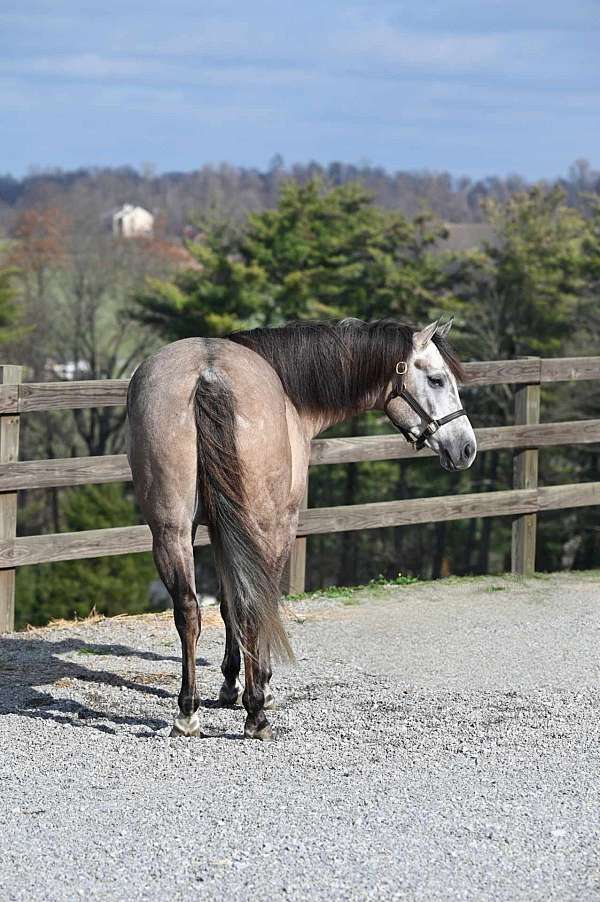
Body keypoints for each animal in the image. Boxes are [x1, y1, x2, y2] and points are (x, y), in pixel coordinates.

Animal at [127, 318, 478, 740]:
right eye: (438, 380)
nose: (466, 448)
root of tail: (206, 374)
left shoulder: (218, 530)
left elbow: (226, 603)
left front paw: (230, 684)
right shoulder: (281, 523)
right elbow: (254, 602)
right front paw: (258, 688)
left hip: (171, 531)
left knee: (188, 610)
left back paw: (187, 713)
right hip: (259, 525)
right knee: (252, 606)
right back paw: (256, 715)